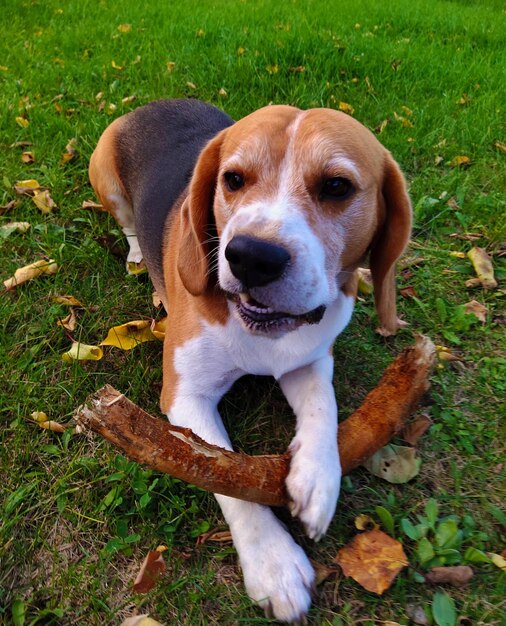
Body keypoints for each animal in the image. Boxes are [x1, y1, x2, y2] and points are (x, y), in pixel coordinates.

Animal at [90, 98, 412, 620]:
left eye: (337, 187)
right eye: (234, 179)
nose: (251, 256)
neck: (263, 332)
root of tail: (157, 102)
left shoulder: (311, 358)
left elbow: (324, 409)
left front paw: (318, 481)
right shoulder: (186, 395)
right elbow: (220, 471)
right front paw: (274, 564)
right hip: (106, 179)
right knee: (128, 225)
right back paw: (138, 253)